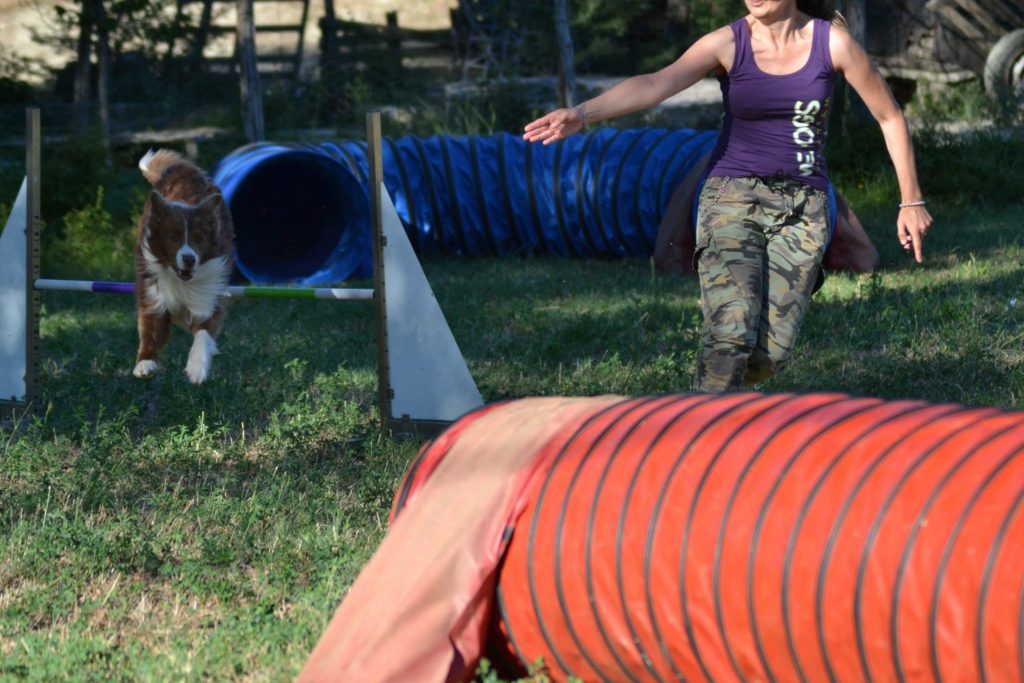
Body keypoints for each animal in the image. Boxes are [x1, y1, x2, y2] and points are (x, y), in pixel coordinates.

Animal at [132, 148, 234, 385]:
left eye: (199, 239)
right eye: (173, 237)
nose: (189, 259)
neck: (180, 280)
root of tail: (181, 170)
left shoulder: (207, 296)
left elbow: (203, 333)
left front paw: (196, 369)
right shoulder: (153, 294)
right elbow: (149, 329)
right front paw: (145, 363)